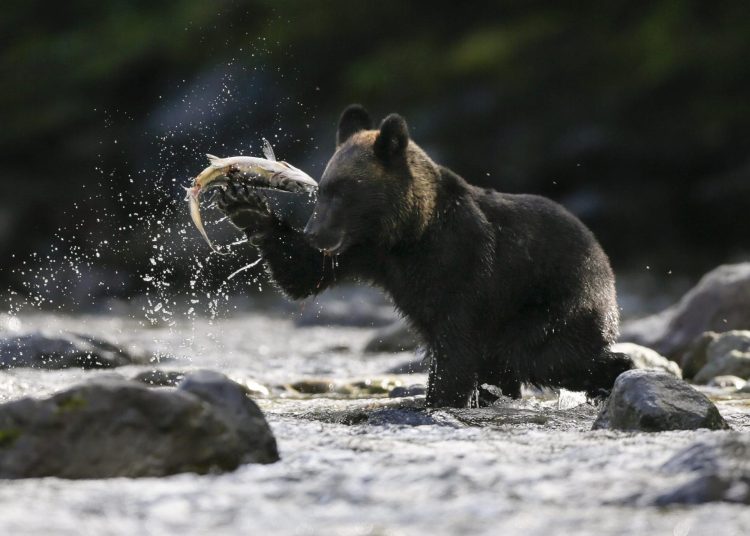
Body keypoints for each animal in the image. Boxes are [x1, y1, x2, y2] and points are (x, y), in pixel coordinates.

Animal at [217, 104, 633, 408]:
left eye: (344, 191)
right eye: (322, 191)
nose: (316, 233)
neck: (407, 234)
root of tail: (604, 258)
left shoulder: (463, 265)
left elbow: (455, 347)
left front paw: (437, 400)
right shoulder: (365, 254)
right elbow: (303, 274)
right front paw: (244, 203)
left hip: (553, 302)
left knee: (541, 354)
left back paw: (615, 373)